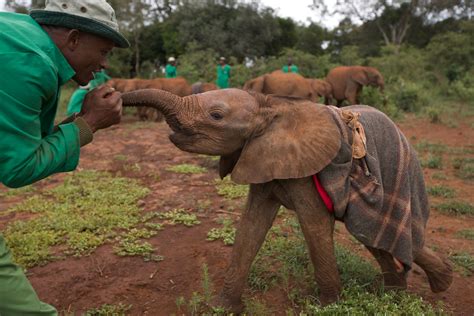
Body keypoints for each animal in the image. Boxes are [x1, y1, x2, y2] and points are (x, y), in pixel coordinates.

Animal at [120, 89, 454, 314]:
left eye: (216, 115)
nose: (113, 97)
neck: (269, 105)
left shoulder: (305, 170)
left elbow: (314, 225)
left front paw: (328, 306)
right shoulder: (260, 156)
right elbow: (252, 225)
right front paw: (222, 307)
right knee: (373, 234)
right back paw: (412, 290)